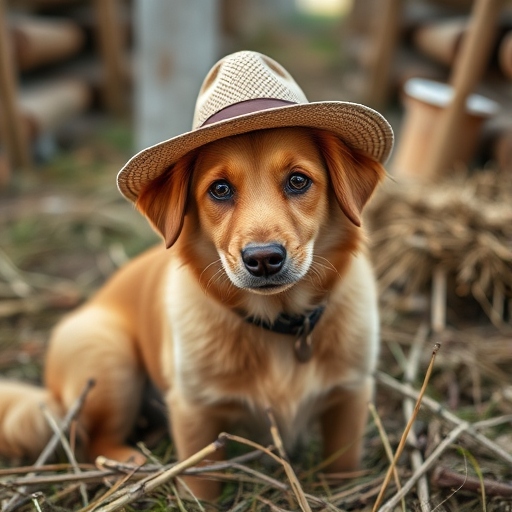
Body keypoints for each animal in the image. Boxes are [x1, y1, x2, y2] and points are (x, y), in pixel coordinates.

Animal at [0, 52, 394, 500]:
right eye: (220, 189)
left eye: (298, 180)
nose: (263, 259)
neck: (276, 324)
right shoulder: (194, 412)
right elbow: (202, 485)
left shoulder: (351, 394)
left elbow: (344, 466)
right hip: (108, 358)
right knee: (91, 442)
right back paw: (129, 465)